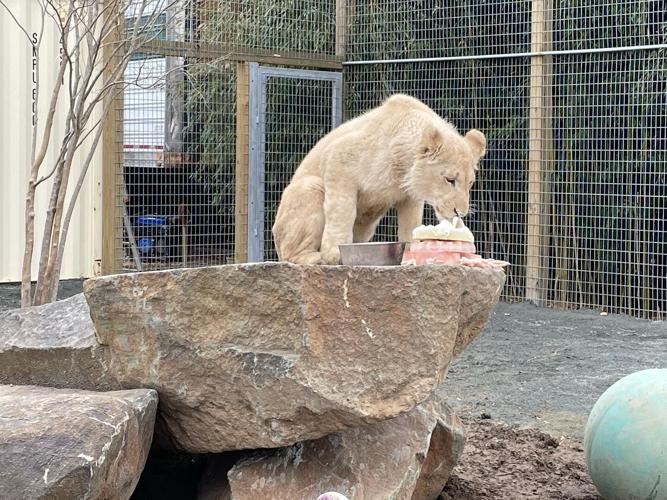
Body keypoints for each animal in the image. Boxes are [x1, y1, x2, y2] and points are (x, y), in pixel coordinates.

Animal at [271, 94, 487, 265]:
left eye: (470, 183)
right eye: (450, 179)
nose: (460, 212)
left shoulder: (409, 192)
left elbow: (410, 220)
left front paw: (412, 252)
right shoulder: (342, 156)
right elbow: (342, 209)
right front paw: (334, 254)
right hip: (308, 188)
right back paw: (316, 258)